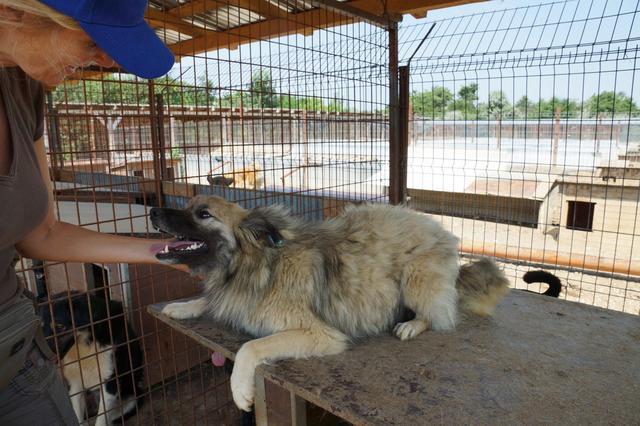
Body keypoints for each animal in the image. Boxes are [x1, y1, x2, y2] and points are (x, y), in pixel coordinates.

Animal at [40, 292, 145, 424]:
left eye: (59, 326)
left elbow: (101, 420)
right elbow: (77, 417)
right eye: (40, 327)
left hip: (133, 397)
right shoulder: (75, 384)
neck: (86, 345)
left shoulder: (110, 383)